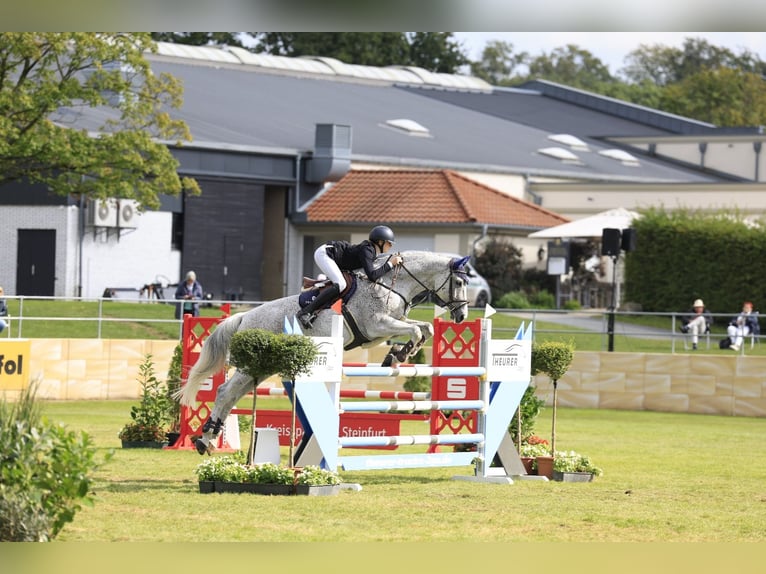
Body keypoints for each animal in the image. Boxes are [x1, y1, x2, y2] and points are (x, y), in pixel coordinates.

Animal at [178, 251, 474, 454]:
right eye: (460, 283)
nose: (461, 316)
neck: (391, 284)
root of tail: (243, 317)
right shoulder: (378, 325)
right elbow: (415, 330)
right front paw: (401, 354)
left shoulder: (389, 326)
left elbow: (425, 329)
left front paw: (399, 354)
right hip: (252, 366)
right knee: (224, 392)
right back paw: (205, 438)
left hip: (260, 368)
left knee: (231, 395)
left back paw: (207, 439)